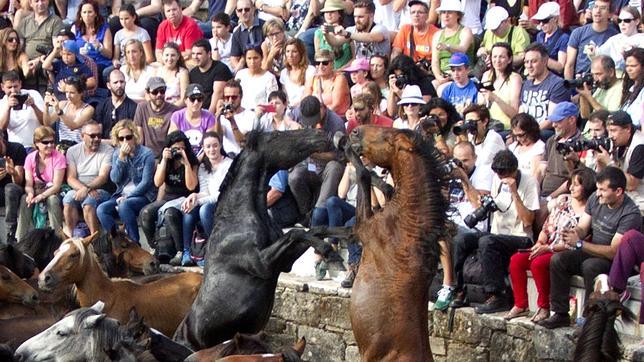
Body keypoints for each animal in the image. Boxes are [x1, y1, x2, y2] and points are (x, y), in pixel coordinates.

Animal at [171, 129, 342, 350]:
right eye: (278, 136)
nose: (321, 134)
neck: (237, 218)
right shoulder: (263, 263)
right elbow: (296, 234)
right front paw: (331, 254)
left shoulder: (283, 263)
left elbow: (315, 229)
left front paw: (345, 239)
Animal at [342, 126, 448, 360]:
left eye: (386, 136)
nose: (355, 131)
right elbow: (381, 183)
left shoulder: (364, 227)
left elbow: (363, 174)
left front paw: (342, 144)